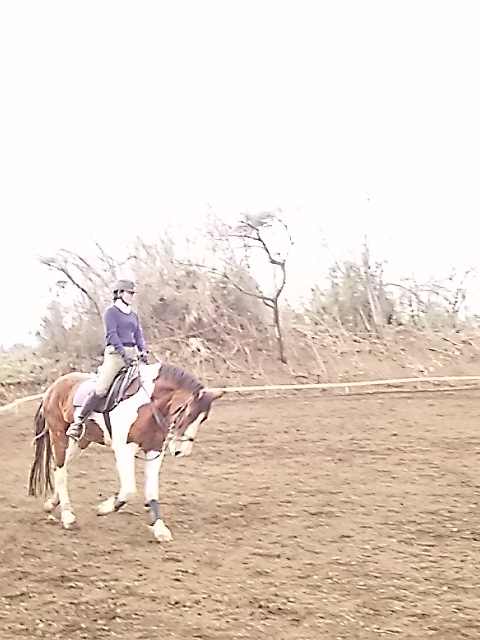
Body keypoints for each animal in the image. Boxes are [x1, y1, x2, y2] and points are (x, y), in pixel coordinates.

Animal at [28, 361, 224, 542]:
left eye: (203, 418)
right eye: (188, 412)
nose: (182, 451)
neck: (148, 404)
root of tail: (53, 387)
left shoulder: (154, 450)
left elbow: (152, 490)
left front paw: (159, 528)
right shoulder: (124, 449)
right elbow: (129, 490)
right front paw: (103, 508)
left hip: (82, 441)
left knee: (60, 468)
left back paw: (52, 503)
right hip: (59, 435)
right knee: (60, 470)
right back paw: (68, 516)